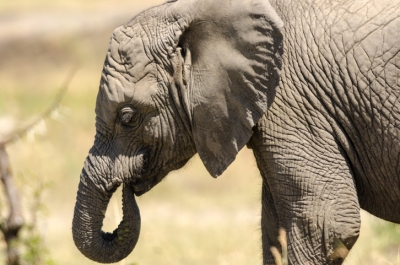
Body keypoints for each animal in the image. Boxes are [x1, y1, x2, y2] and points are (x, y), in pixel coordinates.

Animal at [72, 0, 400, 264]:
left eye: (128, 117)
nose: (128, 188)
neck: (193, 10)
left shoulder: (293, 103)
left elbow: (325, 222)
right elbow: (275, 227)